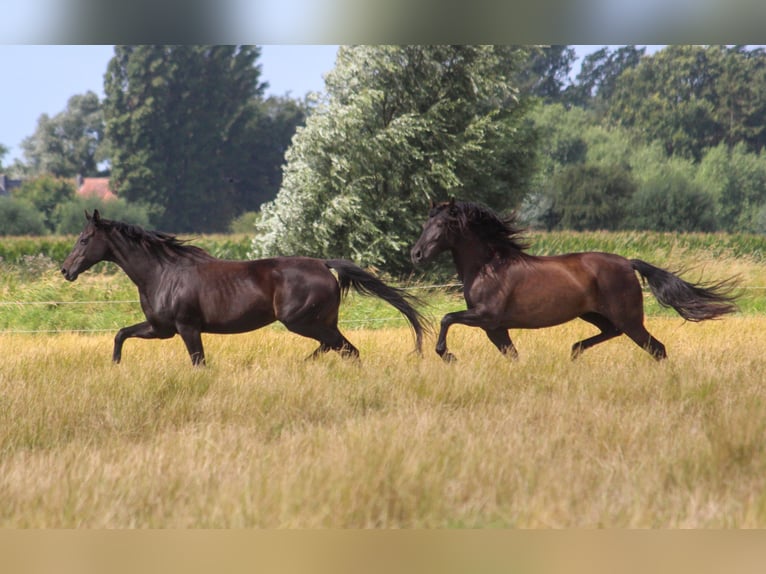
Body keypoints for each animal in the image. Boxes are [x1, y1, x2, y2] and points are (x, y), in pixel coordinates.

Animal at [63, 209, 428, 366]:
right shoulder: (161, 328)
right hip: (320, 322)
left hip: (301, 321)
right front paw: (115, 367)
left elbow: (198, 362)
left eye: (84, 239)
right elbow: (121, 334)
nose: (66, 270)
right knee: (337, 347)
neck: (162, 272)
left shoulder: (187, 327)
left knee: (346, 349)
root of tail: (324, 264)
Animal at [412, 200, 740, 362]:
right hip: (594, 313)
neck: (488, 266)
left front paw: (447, 355)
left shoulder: (485, 316)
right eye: (425, 223)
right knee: (612, 332)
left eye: (441, 225)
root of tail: (628, 262)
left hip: (629, 318)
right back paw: (575, 350)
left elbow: (446, 318)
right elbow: (512, 356)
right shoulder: (495, 328)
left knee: (656, 348)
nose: (416, 254)